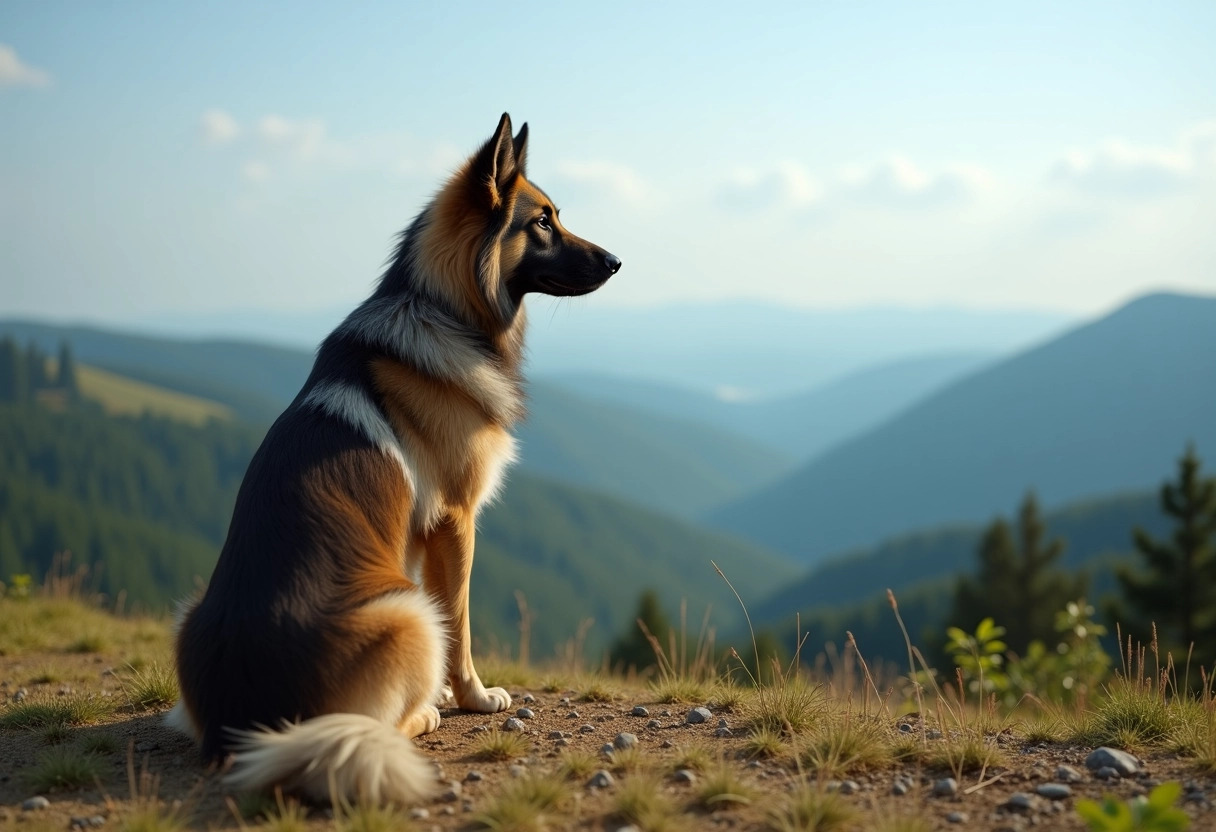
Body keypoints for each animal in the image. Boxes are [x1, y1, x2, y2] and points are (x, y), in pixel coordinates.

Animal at [166, 113, 622, 802]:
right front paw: (473, 697)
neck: (445, 308)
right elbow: (460, 623)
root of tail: (247, 730)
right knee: (382, 719)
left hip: (192, 615)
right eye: (542, 222)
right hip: (405, 612)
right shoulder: (455, 523)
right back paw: (424, 713)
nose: (618, 261)